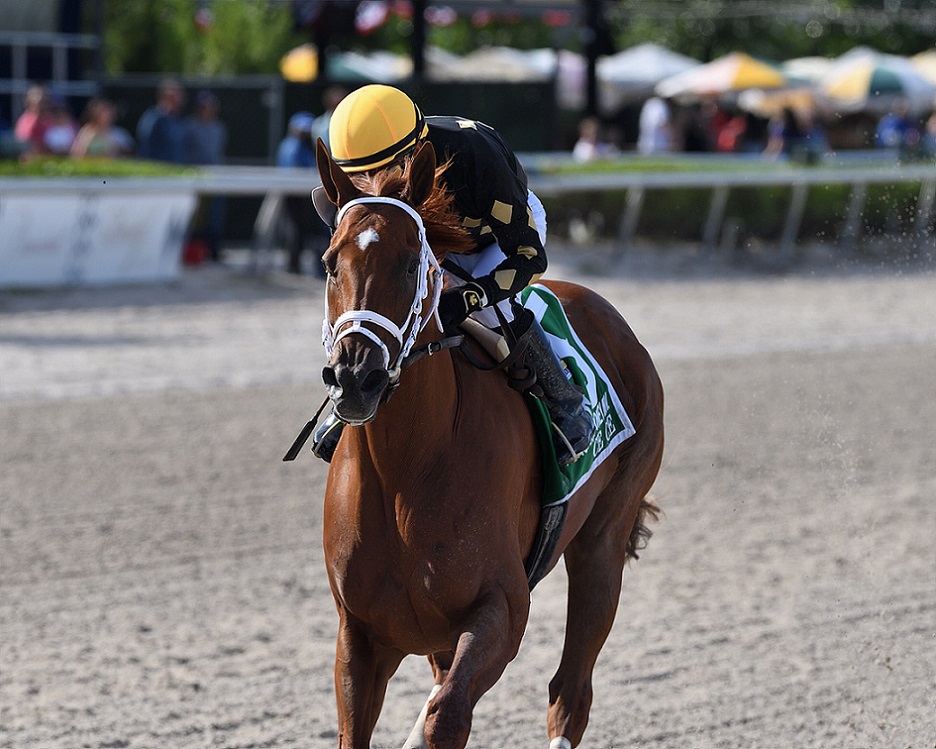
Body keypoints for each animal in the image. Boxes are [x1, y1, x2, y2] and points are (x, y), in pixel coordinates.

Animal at [311, 138, 664, 749]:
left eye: (412, 263)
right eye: (332, 262)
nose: (356, 375)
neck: (406, 471)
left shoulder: (502, 610)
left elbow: (447, 716)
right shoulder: (360, 636)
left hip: (602, 541)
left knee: (570, 693)